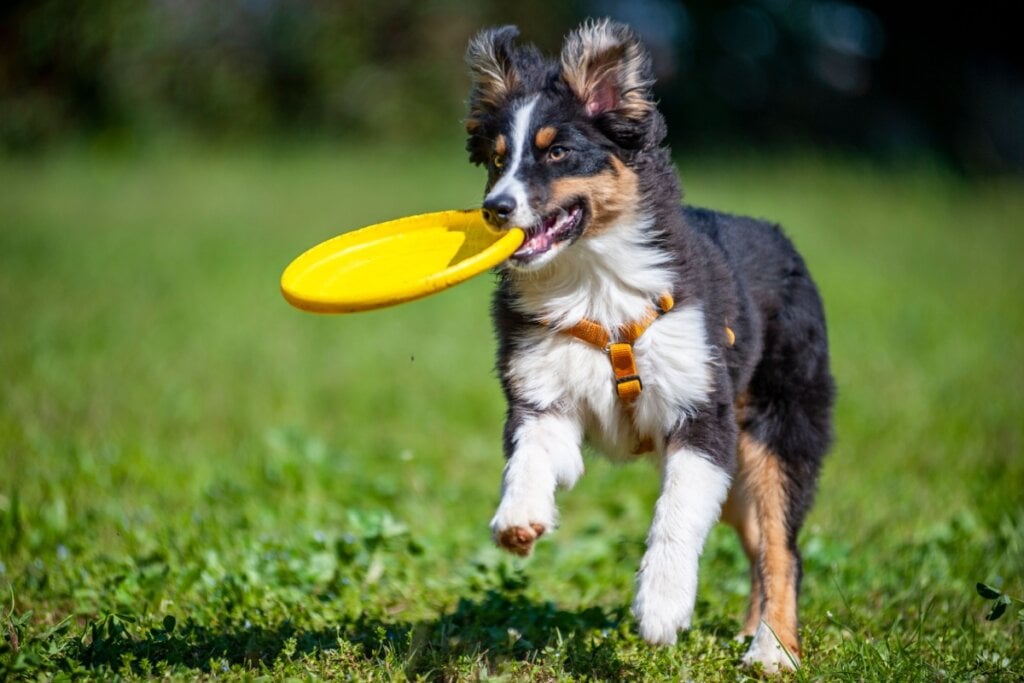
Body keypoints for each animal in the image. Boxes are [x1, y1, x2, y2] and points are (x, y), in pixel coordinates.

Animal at [468, 18, 835, 671]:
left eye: (557, 151)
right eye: (497, 160)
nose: (495, 209)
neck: (594, 284)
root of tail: (783, 240)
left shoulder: (702, 412)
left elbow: (678, 515)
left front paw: (661, 607)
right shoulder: (543, 394)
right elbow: (530, 454)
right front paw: (519, 517)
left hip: (778, 428)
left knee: (782, 546)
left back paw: (773, 650)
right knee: (757, 541)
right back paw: (751, 630)